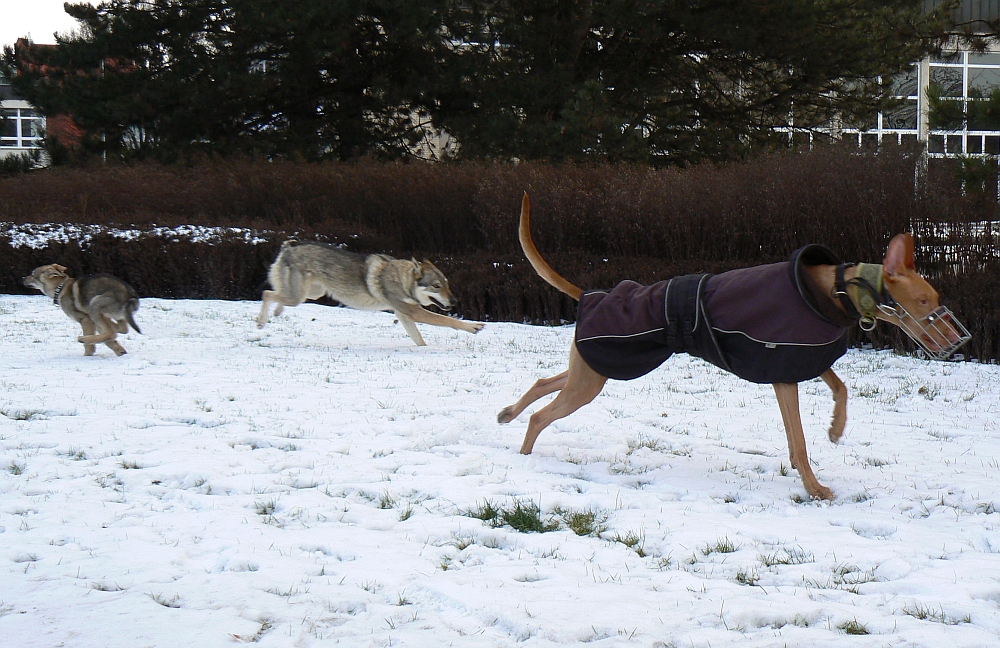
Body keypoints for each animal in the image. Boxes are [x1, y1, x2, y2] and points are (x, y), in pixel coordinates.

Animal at [258, 240, 484, 344]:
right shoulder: (414, 312)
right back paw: (261, 322)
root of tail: (290, 244)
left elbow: (419, 339)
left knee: (275, 295)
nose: (454, 302)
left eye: (447, 284)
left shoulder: (404, 315)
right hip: (298, 297)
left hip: (310, 294)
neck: (401, 280)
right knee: (266, 293)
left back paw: (276, 313)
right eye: (436, 286)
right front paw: (473, 326)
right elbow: (449, 321)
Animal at [500, 194, 968, 502]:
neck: (831, 290)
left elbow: (841, 389)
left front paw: (836, 428)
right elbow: (799, 443)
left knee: (544, 382)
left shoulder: (805, 357)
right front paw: (814, 487)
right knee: (542, 415)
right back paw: (524, 455)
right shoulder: (783, 375)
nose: (958, 340)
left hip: (599, 364)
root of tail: (591, 295)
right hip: (598, 373)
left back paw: (508, 412)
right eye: (924, 301)